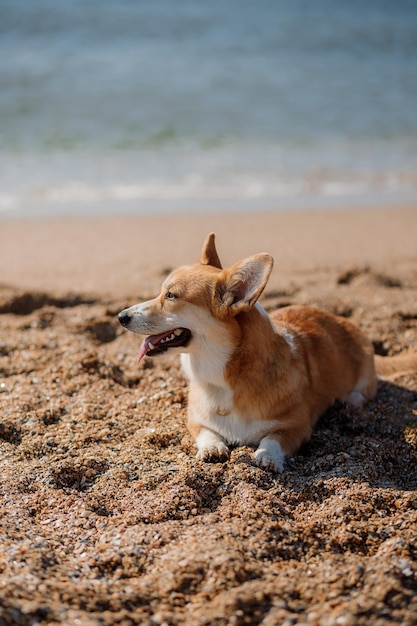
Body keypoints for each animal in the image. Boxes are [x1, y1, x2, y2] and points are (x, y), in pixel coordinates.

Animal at [117, 232, 416, 470]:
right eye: (162, 292)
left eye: (171, 296)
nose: (121, 316)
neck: (223, 375)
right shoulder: (195, 420)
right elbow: (207, 432)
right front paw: (212, 447)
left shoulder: (297, 426)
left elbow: (273, 438)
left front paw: (267, 456)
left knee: (362, 392)